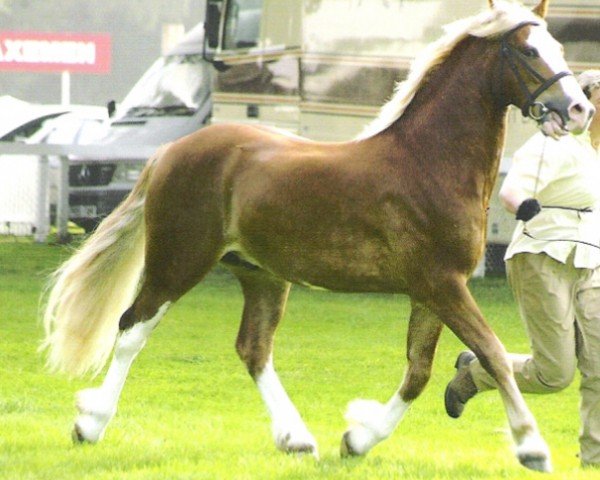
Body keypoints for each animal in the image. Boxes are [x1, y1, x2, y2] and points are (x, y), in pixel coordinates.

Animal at [43, 0, 596, 472]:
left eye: (558, 46)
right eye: (528, 50)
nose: (577, 110)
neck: (427, 162)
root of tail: (167, 154)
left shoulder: (432, 291)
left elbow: (419, 372)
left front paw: (357, 439)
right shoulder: (443, 284)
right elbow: (493, 354)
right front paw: (532, 448)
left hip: (261, 275)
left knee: (253, 349)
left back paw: (296, 439)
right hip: (178, 261)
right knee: (132, 327)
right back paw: (89, 424)